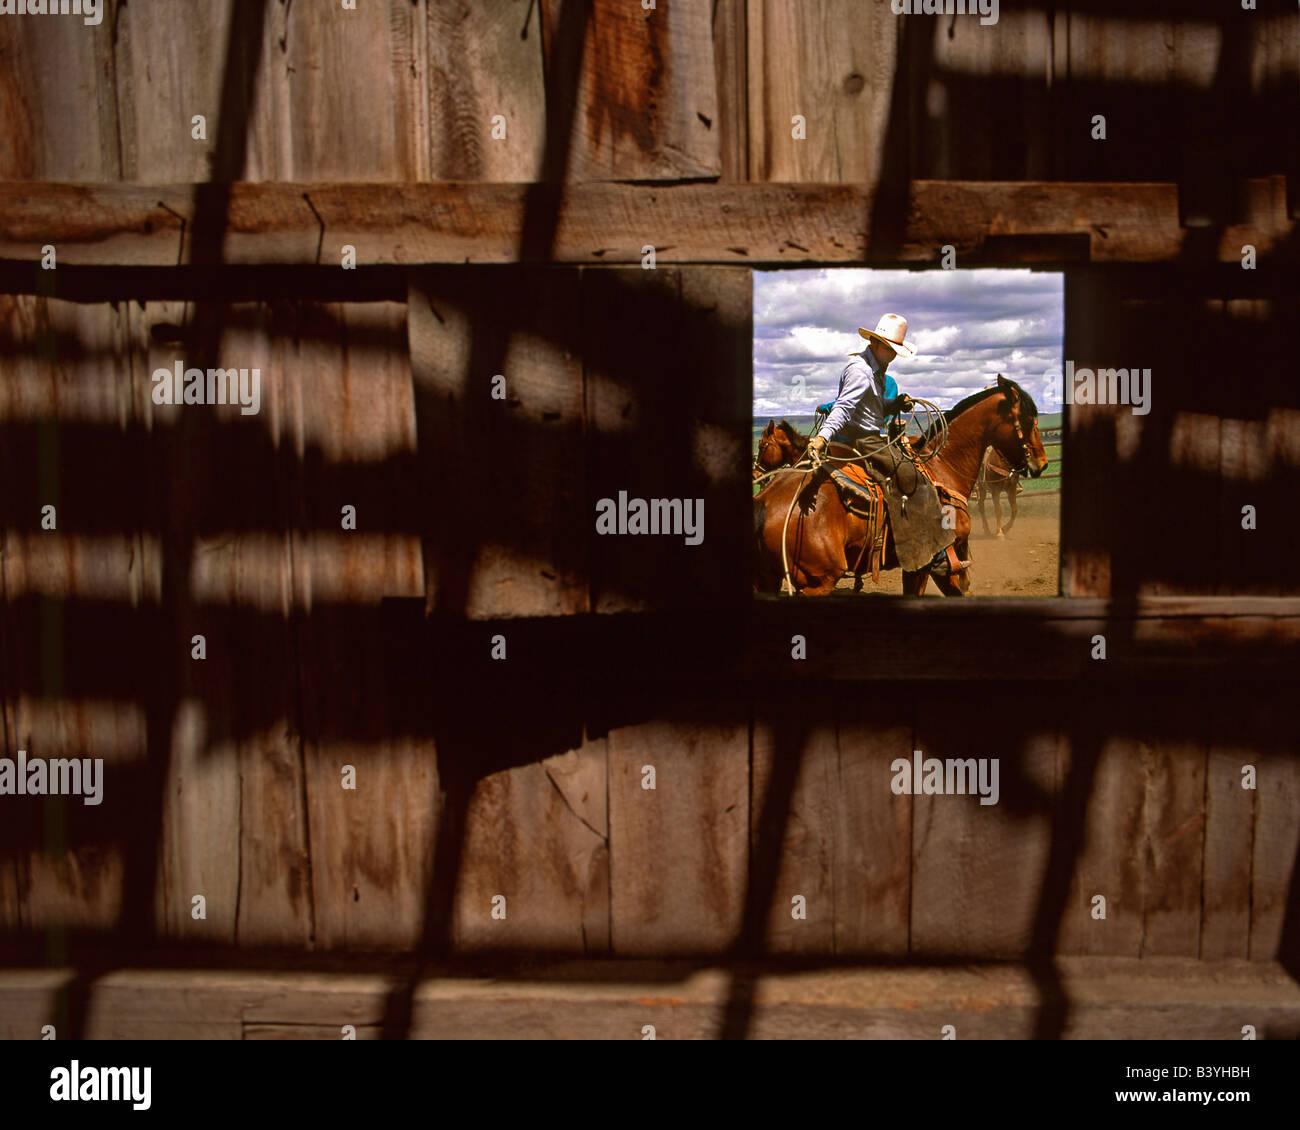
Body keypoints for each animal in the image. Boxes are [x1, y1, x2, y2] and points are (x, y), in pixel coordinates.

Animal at [759, 374, 1050, 595]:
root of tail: (766, 500)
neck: (941, 468)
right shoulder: (935, 562)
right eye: (1028, 420)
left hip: (768, 579)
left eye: (763, 445)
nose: (1042, 463)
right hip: (818, 583)